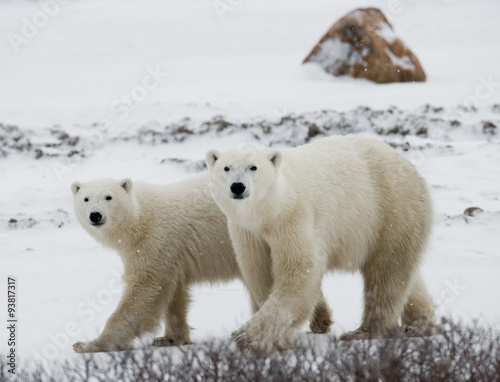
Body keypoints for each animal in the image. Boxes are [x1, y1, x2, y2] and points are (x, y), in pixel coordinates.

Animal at [69, 175, 332, 354]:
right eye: (85, 198)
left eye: (108, 197)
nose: (95, 215)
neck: (141, 217)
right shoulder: (171, 254)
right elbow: (173, 295)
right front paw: (169, 339)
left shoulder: (156, 241)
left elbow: (144, 291)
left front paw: (88, 344)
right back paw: (321, 320)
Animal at [205, 135, 436, 352]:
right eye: (226, 167)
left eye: (253, 167)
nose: (237, 187)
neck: (270, 212)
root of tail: (407, 164)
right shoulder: (248, 232)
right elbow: (260, 271)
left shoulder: (294, 219)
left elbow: (300, 269)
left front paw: (247, 334)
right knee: (405, 275)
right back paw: (419, 323)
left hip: (391, 211)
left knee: (386, 273)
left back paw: (365, 332)